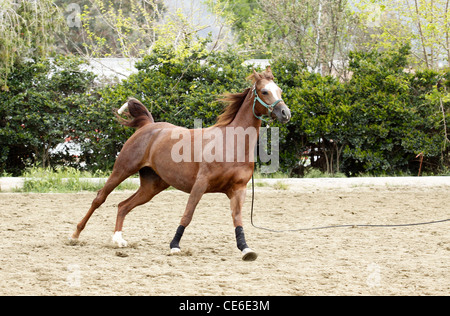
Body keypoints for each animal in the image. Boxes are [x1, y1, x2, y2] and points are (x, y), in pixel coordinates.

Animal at [69, 66, 288, 262]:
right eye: (265, 91)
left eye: (280, 90)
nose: (285, 113)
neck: (230, 143)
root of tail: (148, 125)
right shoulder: (200, 184)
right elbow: (187, 215)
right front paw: (174, 245)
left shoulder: (238, 189)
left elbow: (237, 219)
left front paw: (245, 249)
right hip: (122, 170)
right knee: (99, 198)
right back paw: (75, 235)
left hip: (152, 186)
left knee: (123, 206)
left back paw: (118, 240)